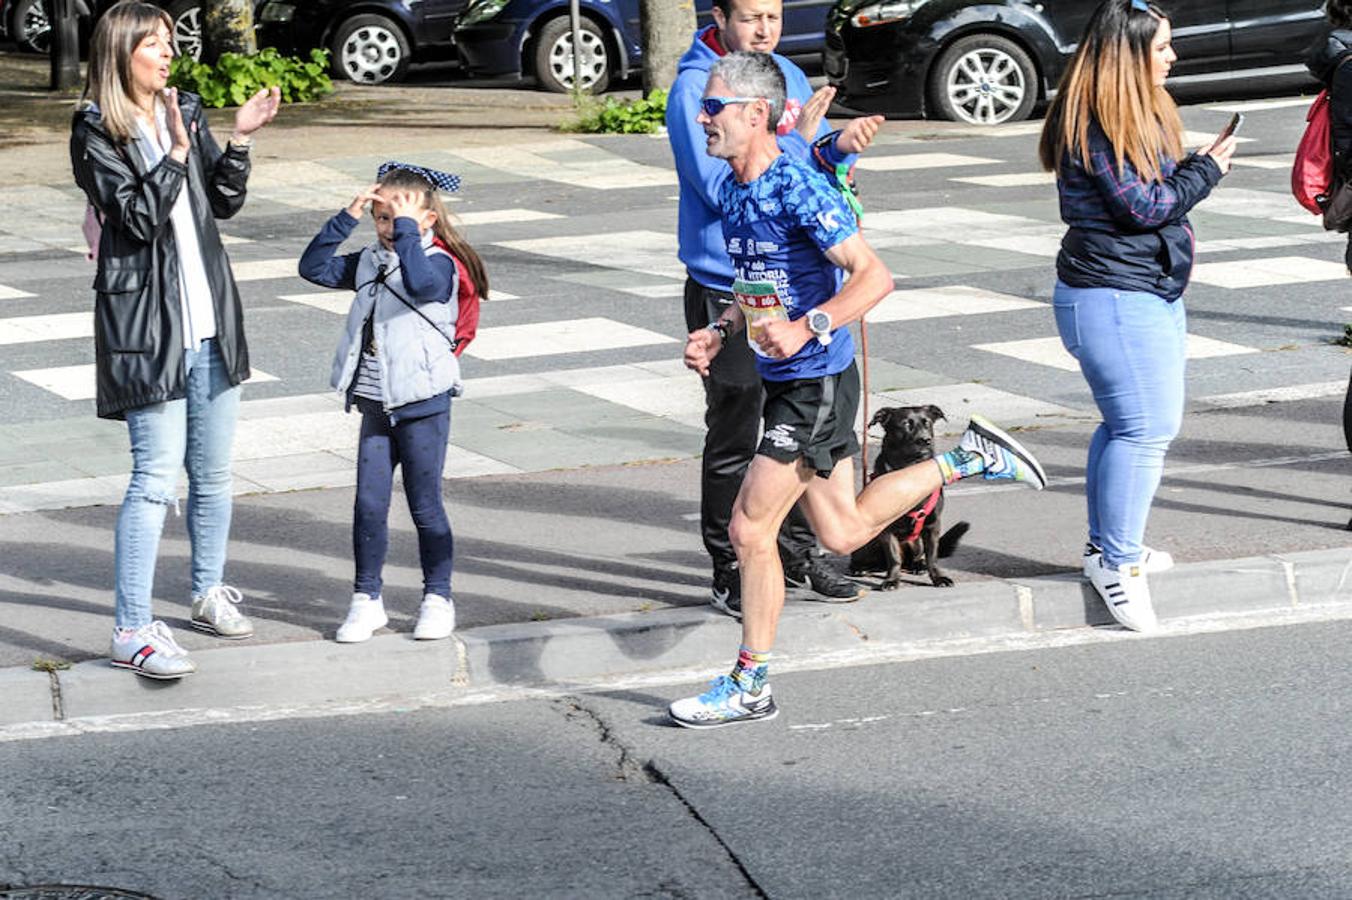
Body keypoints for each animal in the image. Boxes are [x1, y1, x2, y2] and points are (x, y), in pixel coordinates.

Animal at [849, 402, 968, 586]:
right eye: (906, 424)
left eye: (927, 423)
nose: (926, 440)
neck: (911, 474)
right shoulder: (886, 529)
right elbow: (893, 557)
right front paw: (892, 580)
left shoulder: (933, 524)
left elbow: (932, 557)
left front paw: (938, 577)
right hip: (866, 542)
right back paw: (861, 568)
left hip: (915, 542)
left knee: (916, 558)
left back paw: (917, 566)